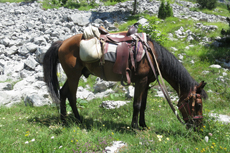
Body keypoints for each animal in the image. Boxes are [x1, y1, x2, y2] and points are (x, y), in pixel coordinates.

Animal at [42, 33, 208, 129]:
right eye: (198, 105)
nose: (199, 127)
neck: (152, 56)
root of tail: (63, 43)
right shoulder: (141, 81)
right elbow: (137, 104)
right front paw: (134, 127)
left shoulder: (146, 83)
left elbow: (143, 106)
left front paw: (143, 125)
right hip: (74, 75)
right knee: (71, 96)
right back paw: (78, 119)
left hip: (74, 75)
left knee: (63, 93)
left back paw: (64, 119)